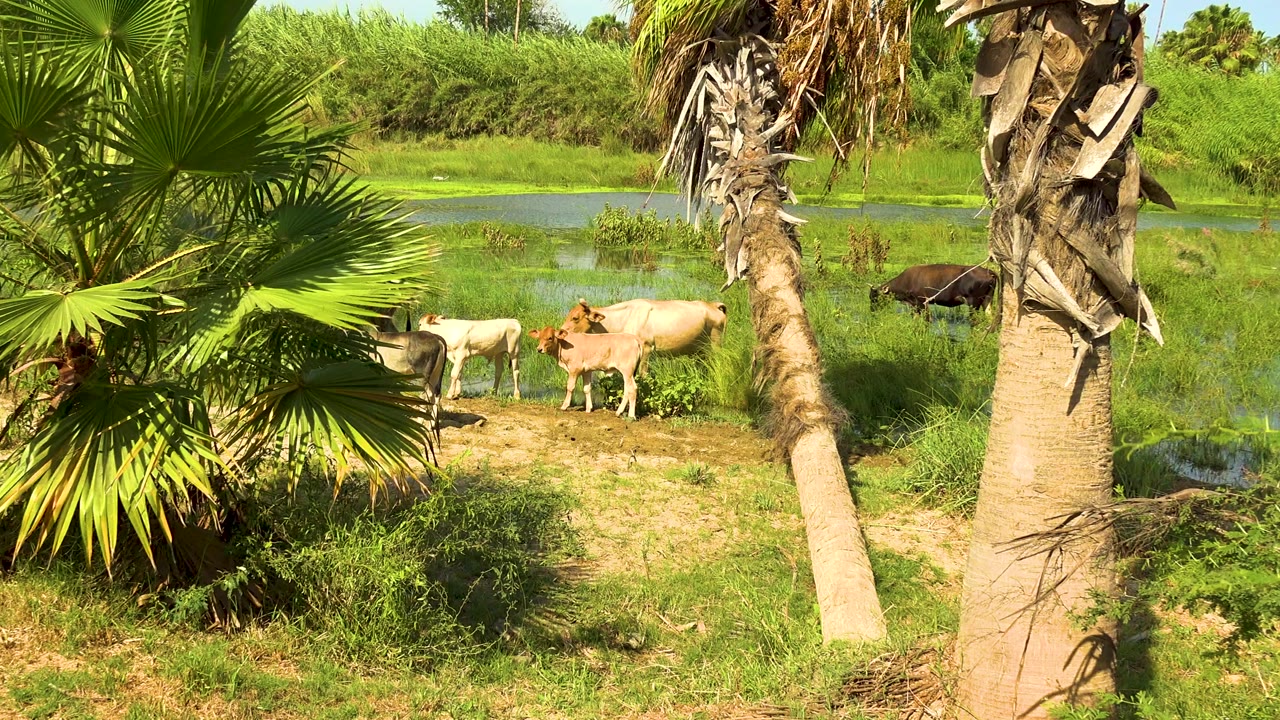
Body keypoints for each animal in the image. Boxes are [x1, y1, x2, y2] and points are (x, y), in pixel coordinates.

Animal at [560, 298, 727, 374]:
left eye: (575, 318)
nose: (561, 332)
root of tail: (713, 305)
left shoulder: (646, 349)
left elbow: (642, 373)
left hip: (716, 344)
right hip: (700, 351)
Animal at [870, 264, 998, 316]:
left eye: (875, 297)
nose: (872, 310)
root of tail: (989, 272)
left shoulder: (922, 303)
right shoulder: (914, 305)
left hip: (974, 304)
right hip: (987, 301)